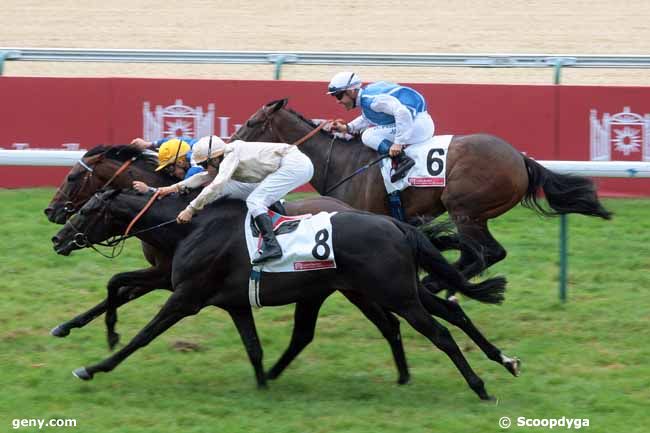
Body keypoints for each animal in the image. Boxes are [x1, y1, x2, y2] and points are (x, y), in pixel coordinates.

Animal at [234, 100, 612, 278]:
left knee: (485, 253)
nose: (230, 141)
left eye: (252, 122)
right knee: (479, 254)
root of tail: (520, 158)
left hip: (465, 209)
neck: (341, 160)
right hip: (476, 215)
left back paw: (443, 284)